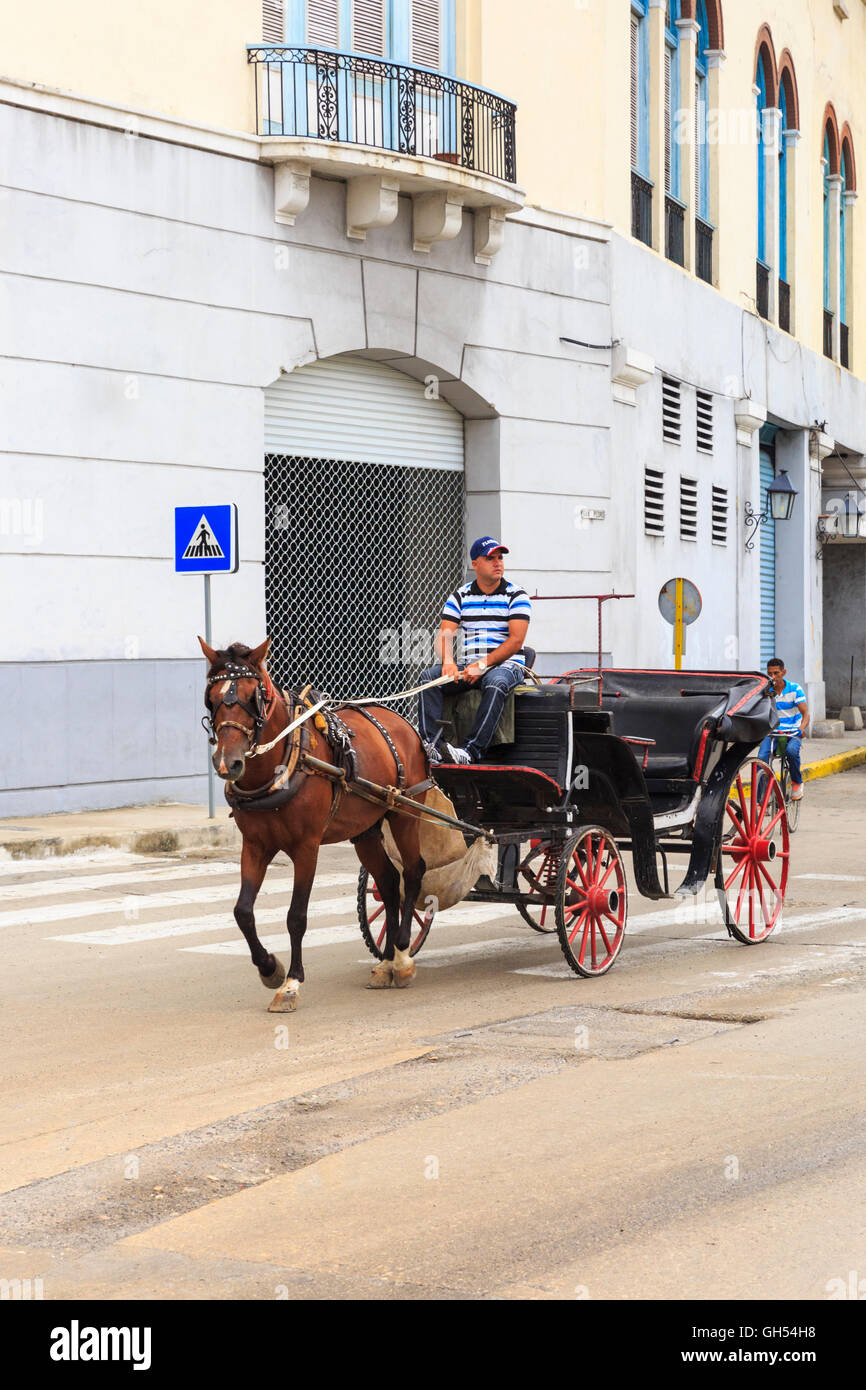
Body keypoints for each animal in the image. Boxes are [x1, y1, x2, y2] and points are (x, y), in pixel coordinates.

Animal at [198, 636, 430, 1011]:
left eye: (253, 696)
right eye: (214, 698)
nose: (227, 763)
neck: (282, 764)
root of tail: (401, 722)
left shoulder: (306, 848)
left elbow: (296, 916)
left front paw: (291, 983)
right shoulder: (256, 846)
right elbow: (243, 912)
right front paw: (269, 968)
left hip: (404, 813)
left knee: (412, 873)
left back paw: (402, 956)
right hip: (365, 830)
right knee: (388, 882)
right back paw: (385, 963)